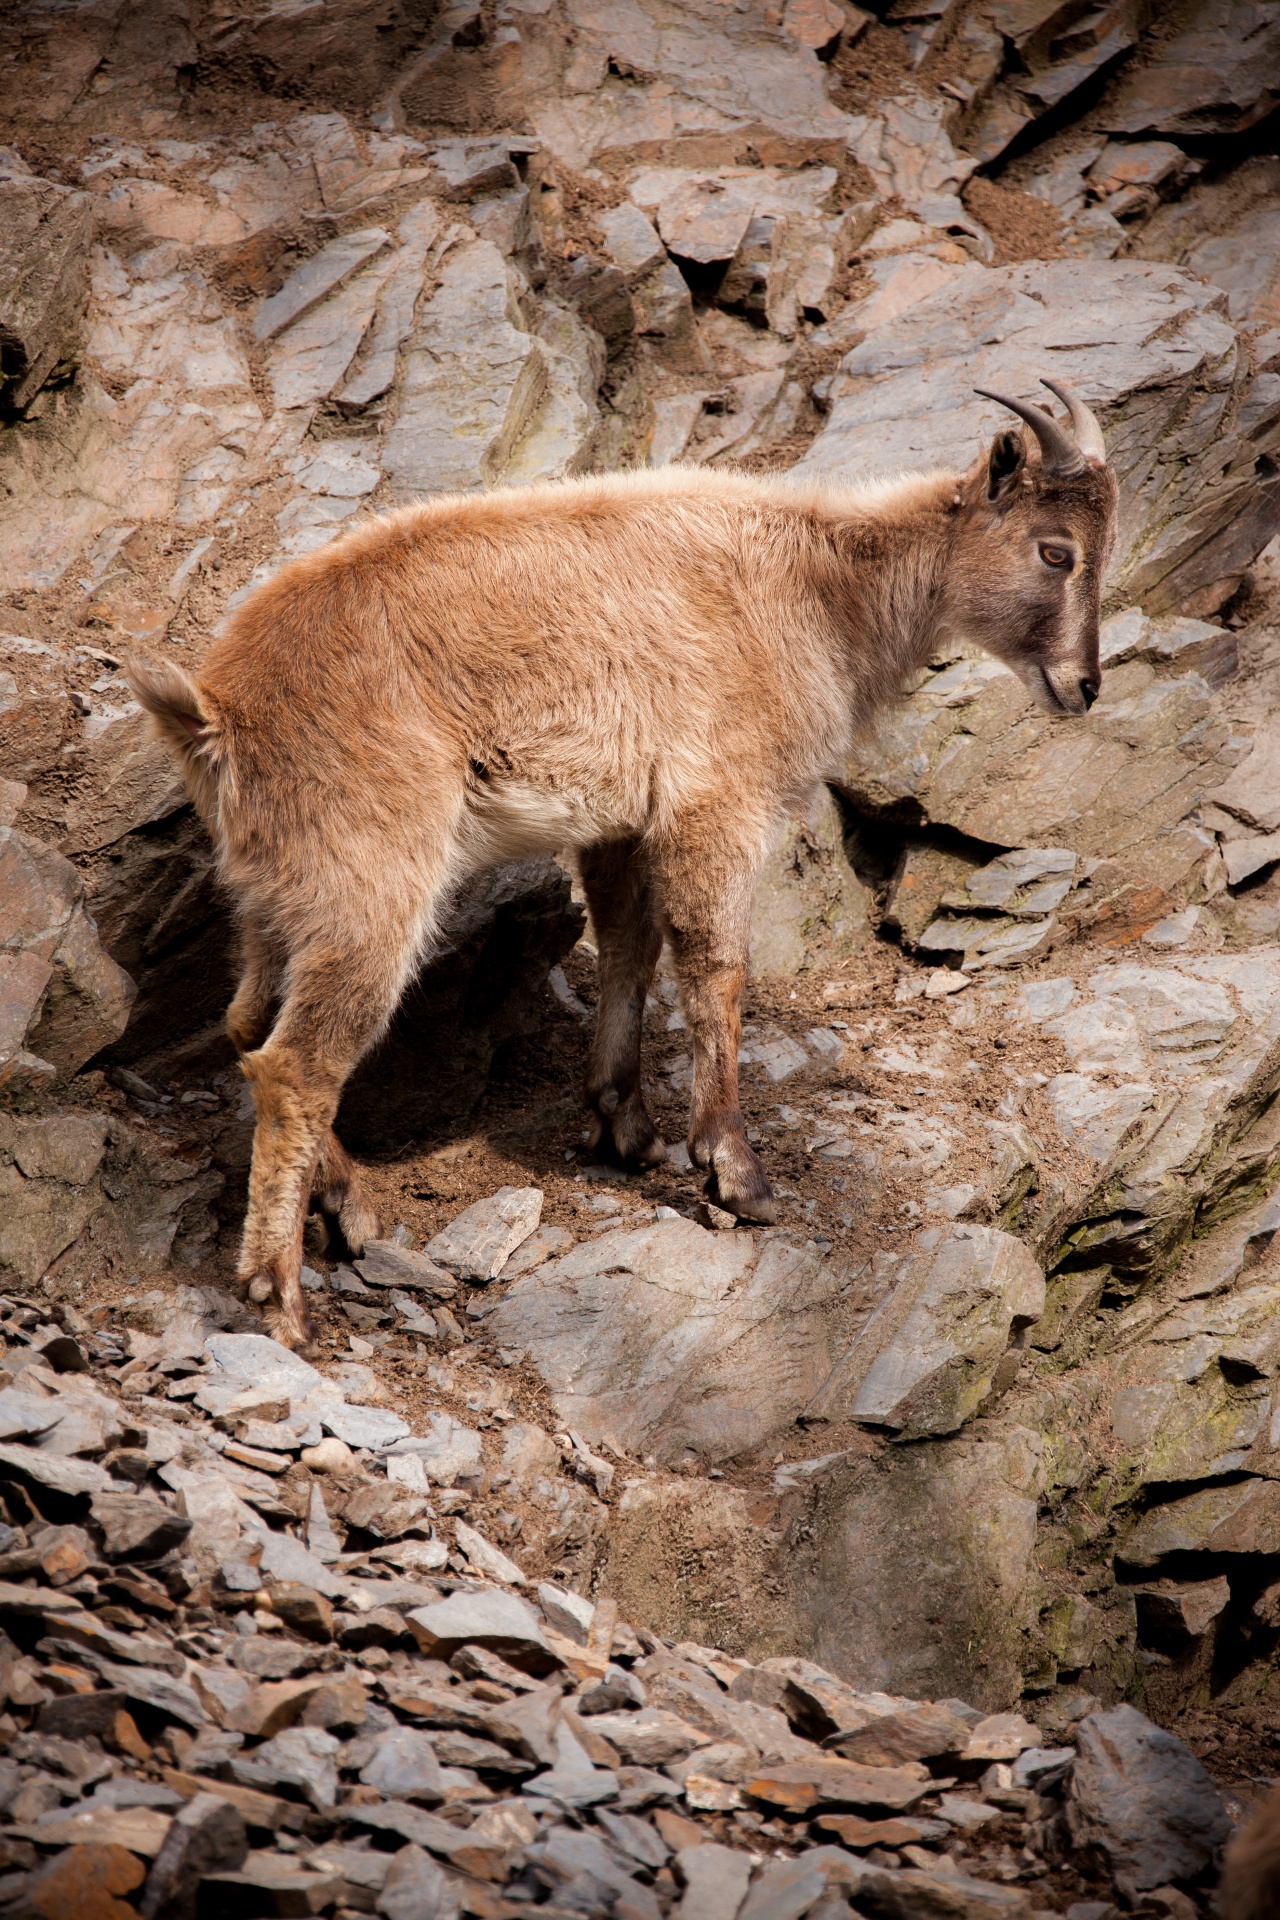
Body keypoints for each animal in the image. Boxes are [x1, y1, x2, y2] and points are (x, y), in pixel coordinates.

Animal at [127, 382, 1113, 1351]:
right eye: (1055, 550)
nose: (1085, 687)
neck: (816, 589)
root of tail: (218, 715)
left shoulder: (617, 823)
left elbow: (631, 950)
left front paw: (625, 1128)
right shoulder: (716, 799)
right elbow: (714, 966)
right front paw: (734, 1172)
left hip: (274, 889)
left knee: (249, 1021)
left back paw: (348, 1204)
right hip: (370, 883)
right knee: (294, 1066)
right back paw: (280, 1295)